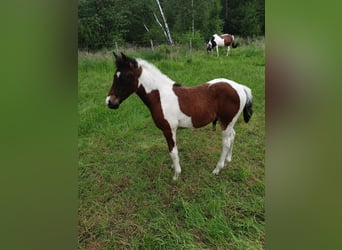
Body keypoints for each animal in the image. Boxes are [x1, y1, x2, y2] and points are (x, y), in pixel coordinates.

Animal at [105, 52, 252, 181]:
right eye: (114, 76)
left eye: (126, 77)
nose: (110, 102)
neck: (160, 96)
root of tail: (240, 87)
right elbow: (173, 151)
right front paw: (173, 167)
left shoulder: (168, 129)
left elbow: (173, 151)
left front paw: (176, 175)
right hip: (227, 122)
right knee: (233, 136)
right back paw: (228, 160)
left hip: (226, 122)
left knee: (226, 142)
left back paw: (217, 169)